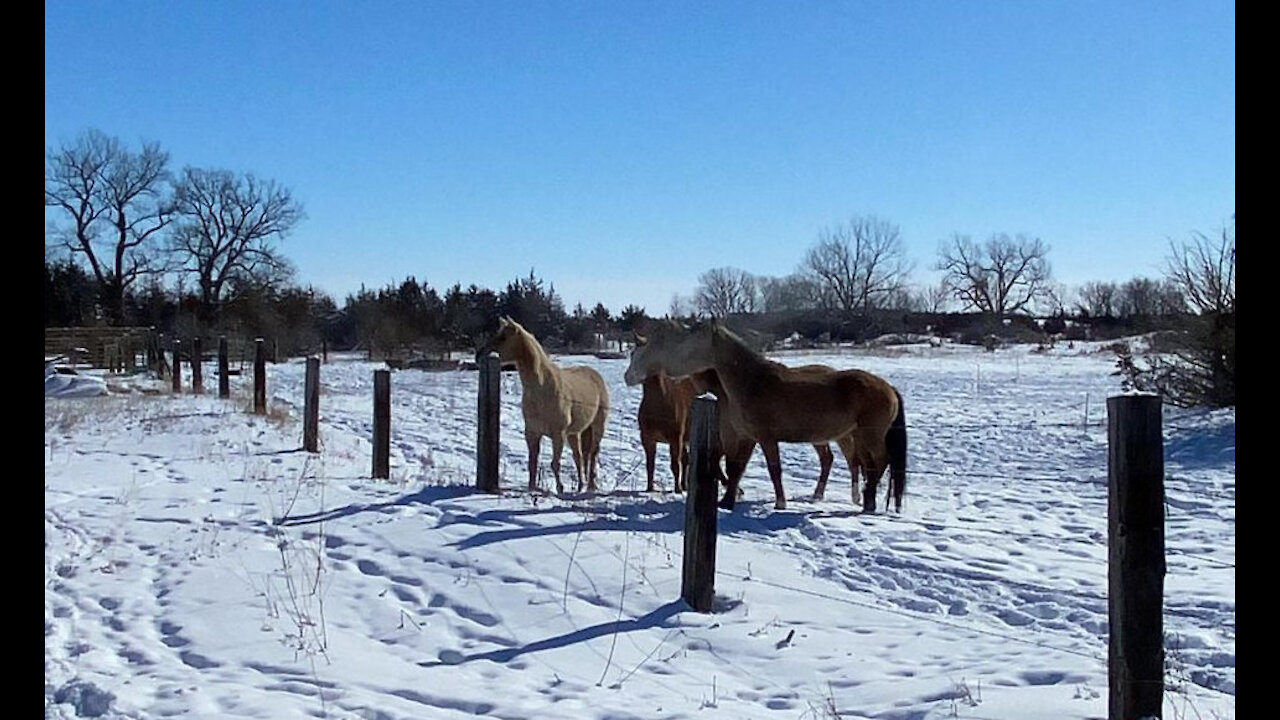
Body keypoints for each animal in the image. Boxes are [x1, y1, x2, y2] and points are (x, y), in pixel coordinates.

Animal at [481, 315, 609, 491]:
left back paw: (590, 485)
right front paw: (532, 487)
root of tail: (596, 376)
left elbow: (555, 464)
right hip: (575, 433)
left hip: (597, 426)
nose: (478, 355)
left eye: (503, 337)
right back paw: (580, 486)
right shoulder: (532, 433)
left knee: (593, 454)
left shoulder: (558, 434)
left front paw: (560, 488)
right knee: (579, 456)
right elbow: (532, 463)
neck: (542, 388)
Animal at [624, 319, 906, 509]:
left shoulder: (765, 438)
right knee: (864, 464)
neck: (750, 382)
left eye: (693, 342)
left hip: (863, 437)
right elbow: (735, 467)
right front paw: (727, 501)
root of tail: (890, 388)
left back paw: (866, 502)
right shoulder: (746, 437)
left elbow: (773, 469)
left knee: (876, 462)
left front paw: (779, 503)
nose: (670, 371)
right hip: (853, 437)